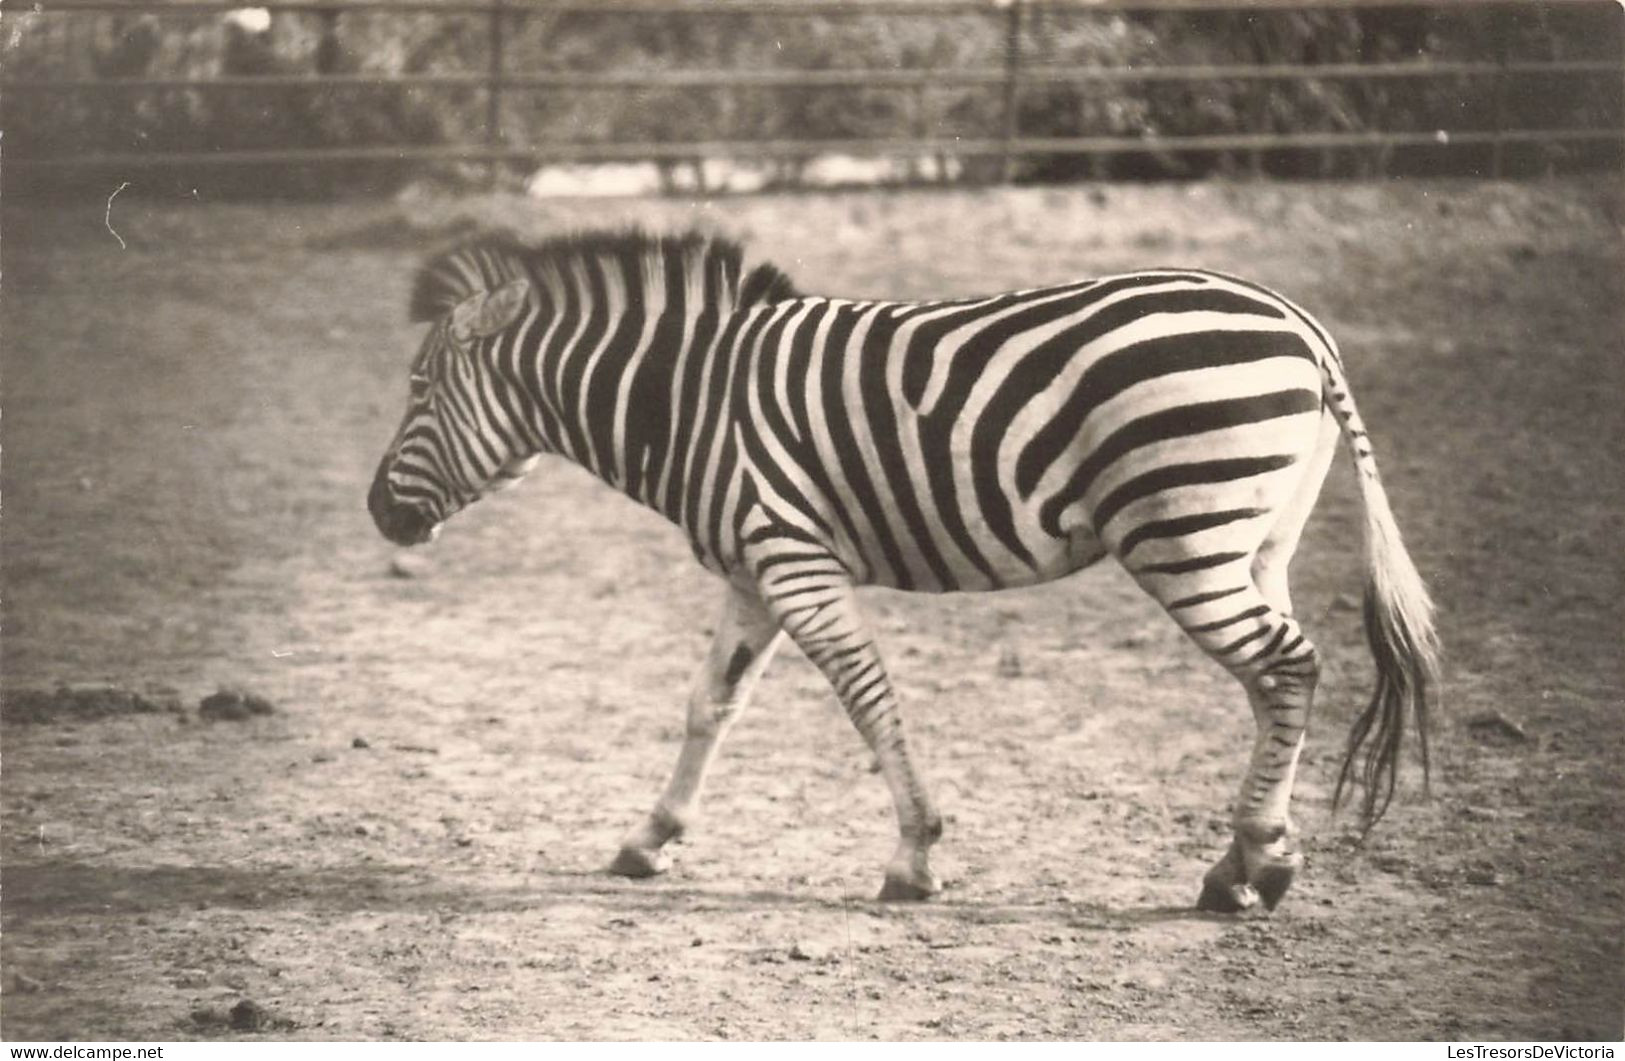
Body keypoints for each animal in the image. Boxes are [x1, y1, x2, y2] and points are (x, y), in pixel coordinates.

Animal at [365, 229, 1436, 909]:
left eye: (417, 388)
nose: (376, 510)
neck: (690, 403)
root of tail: (1299, 324)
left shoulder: (793, 561)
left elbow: (867, 697)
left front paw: (914, 856)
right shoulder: (751, 570)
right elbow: (711, 702)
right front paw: (649, 839)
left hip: (1185, 536)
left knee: (1288, 667)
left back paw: (1252, 865)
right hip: (1252, 542)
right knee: (1275, 683)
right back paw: (1244, 859)